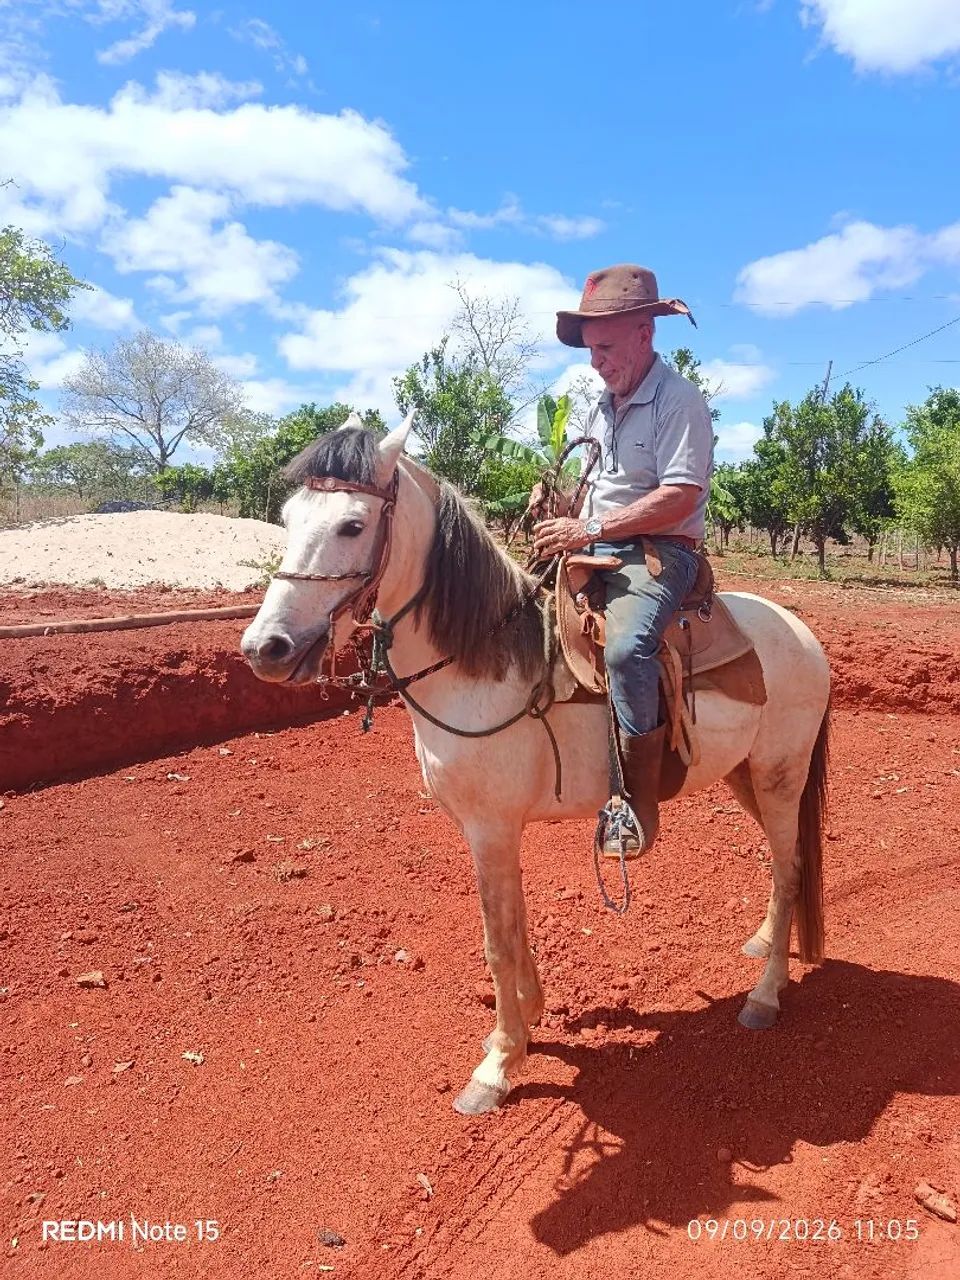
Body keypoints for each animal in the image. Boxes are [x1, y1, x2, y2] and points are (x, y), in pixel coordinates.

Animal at [240, 413, 831, 1116]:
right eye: (287, 516)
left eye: (352, 526)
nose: (265, 648)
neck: (480, 660)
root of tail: (802, 631)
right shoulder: (496, 832)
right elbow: (515, 925)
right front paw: (532, 1014)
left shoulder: (491, 827)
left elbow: (497, 942)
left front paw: (498, 1063)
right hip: (746, 777)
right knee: (782, 863)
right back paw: (766, 942)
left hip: (779, 775)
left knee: (790, 870)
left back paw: (765, 995)